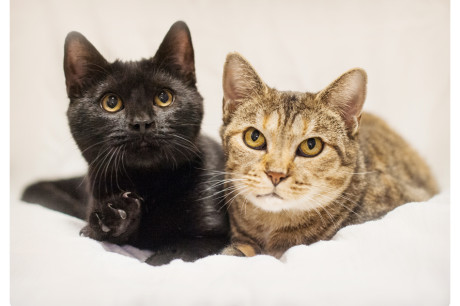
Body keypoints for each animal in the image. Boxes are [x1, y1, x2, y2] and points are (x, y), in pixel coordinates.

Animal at [21, 20, 230, 266]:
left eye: (164, 98)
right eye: (111, 102)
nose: (142, 123)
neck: (148, 185)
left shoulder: (215, 237)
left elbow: (172, 255)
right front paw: (114, 216)